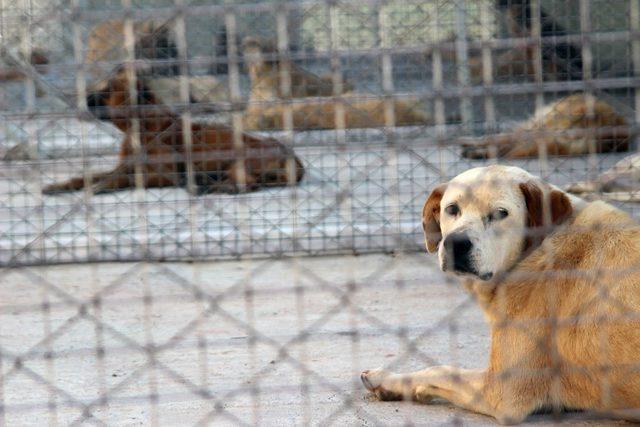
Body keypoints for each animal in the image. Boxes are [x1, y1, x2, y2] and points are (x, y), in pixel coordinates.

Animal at [42, 68, 304, 196]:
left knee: (249, 184)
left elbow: (121, 178)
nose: (85, 98)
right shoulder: (123, 166)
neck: (141, 128)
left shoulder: (160, 174)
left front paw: (101, 186)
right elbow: (86, 176)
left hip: (239, 161)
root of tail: (293, 158)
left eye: (108, 91)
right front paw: (60, 185)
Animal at [360, 164, 640, 424]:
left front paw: (387, 381)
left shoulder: (500, 390)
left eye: (500, 213)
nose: (455, 243)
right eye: (452, 209)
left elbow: (439, 370)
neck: (537, 252)